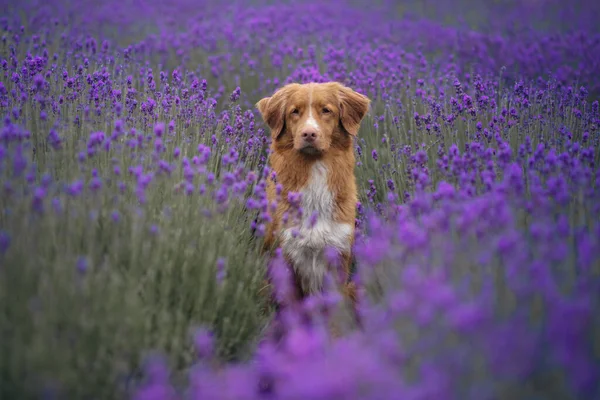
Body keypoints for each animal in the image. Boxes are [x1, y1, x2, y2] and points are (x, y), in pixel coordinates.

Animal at [254, 80, 368, 312]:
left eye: (326, 110)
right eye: (294, 112)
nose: (309, 134)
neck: (314, 169)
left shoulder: (338, 256)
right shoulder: (286, 256)